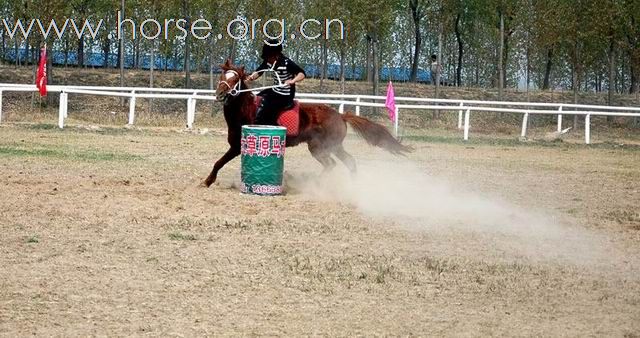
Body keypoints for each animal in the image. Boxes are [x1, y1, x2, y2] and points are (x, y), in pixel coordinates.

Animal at [201, 60, 410, 187]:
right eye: (222, 77)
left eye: (235, 78)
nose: (220, 94)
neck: (247, 110)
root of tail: (340, 115)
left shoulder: (237, 147)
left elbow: (219, 162)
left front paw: (207, 181)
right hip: (334, 146)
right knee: (348, 162)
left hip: (319, 147)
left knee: (331, 164)